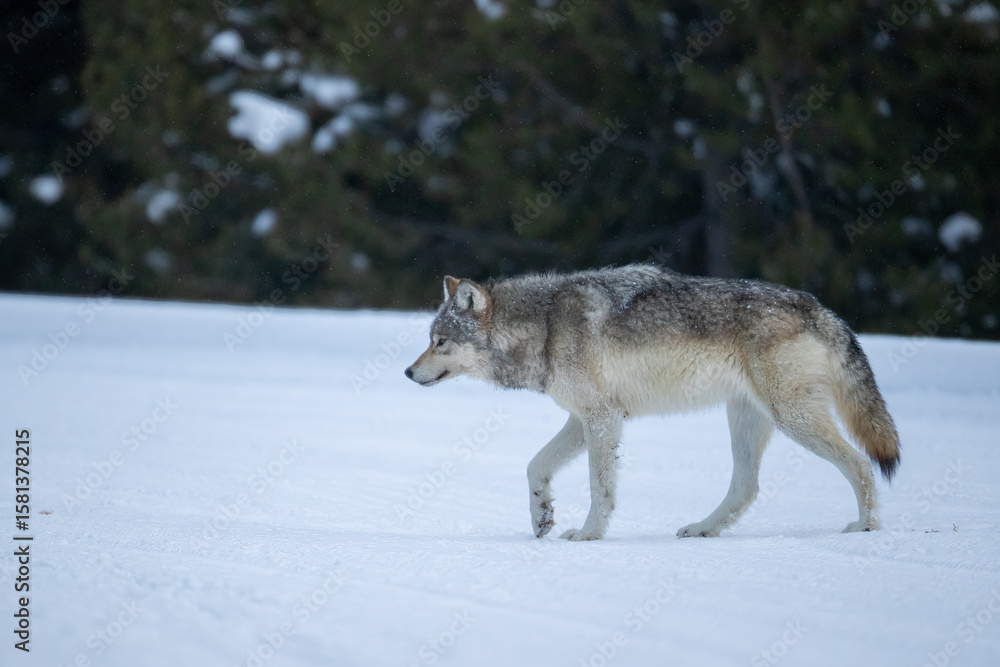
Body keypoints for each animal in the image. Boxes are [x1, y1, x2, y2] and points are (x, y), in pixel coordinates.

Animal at [404, 264, 899, 541]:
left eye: (440, 342)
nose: (408, 372)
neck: (543, 326)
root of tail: (818, 308)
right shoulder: (586, 418)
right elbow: (534, 465)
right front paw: (542, 514)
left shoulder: (601, 418)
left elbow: (599, 488)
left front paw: (588, 535)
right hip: (746, 419)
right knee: (746, 487)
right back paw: (702, 529)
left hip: (794, 419)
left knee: (860, 464)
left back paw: (867, 527)